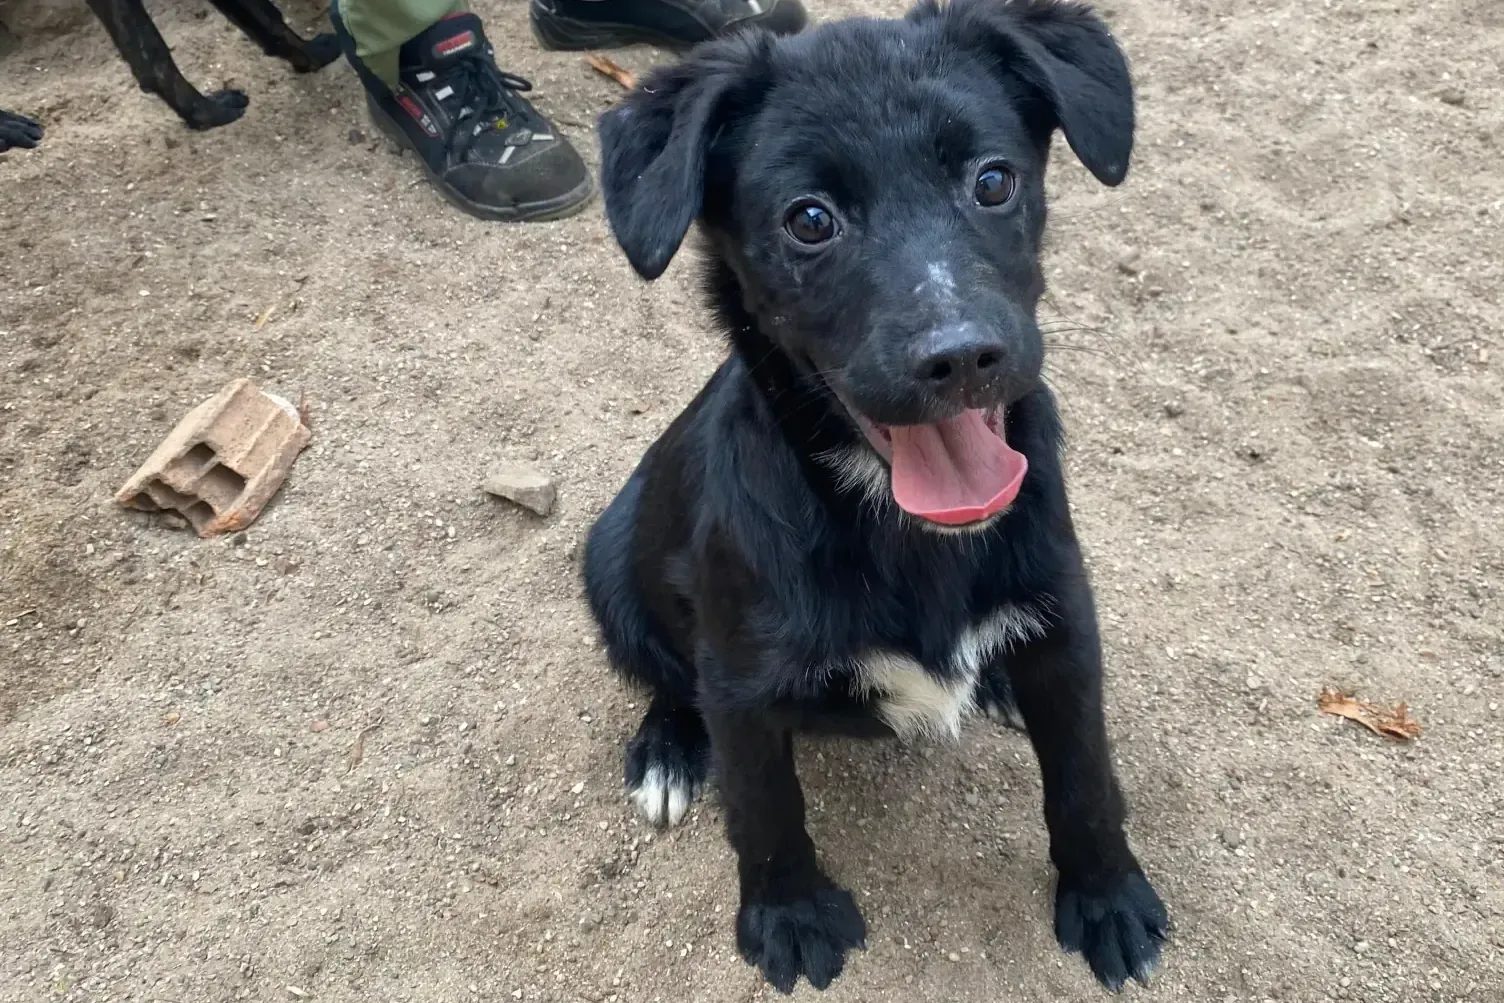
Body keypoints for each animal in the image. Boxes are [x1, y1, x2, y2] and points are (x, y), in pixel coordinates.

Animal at [580, 0, 1167, 992]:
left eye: (993, 180)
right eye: (810, 220)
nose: (962, 357)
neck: (903, 526)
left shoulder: (1067, 620)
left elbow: (1085, 774)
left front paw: (1108, 898)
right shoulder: (740, 681)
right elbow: (765, 807)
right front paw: (788, 917)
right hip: (608, 566)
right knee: (662, 673)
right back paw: (666, 749)